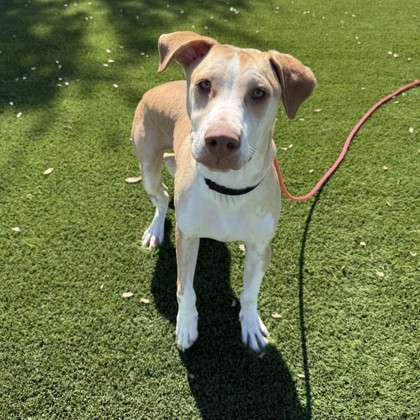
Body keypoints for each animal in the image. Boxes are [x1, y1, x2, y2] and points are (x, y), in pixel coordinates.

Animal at [131, 31, 316, 353]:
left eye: (259, 93)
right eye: (205, 85)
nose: (220, 139)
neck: (227, 190)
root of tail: (157, 87)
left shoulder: (260, 247)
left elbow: (250, 293)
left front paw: (251, 325)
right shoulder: (186, 237)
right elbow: (185, 288)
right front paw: (186, 325)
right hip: (147, 167)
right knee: (162, 196)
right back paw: (155, 230)